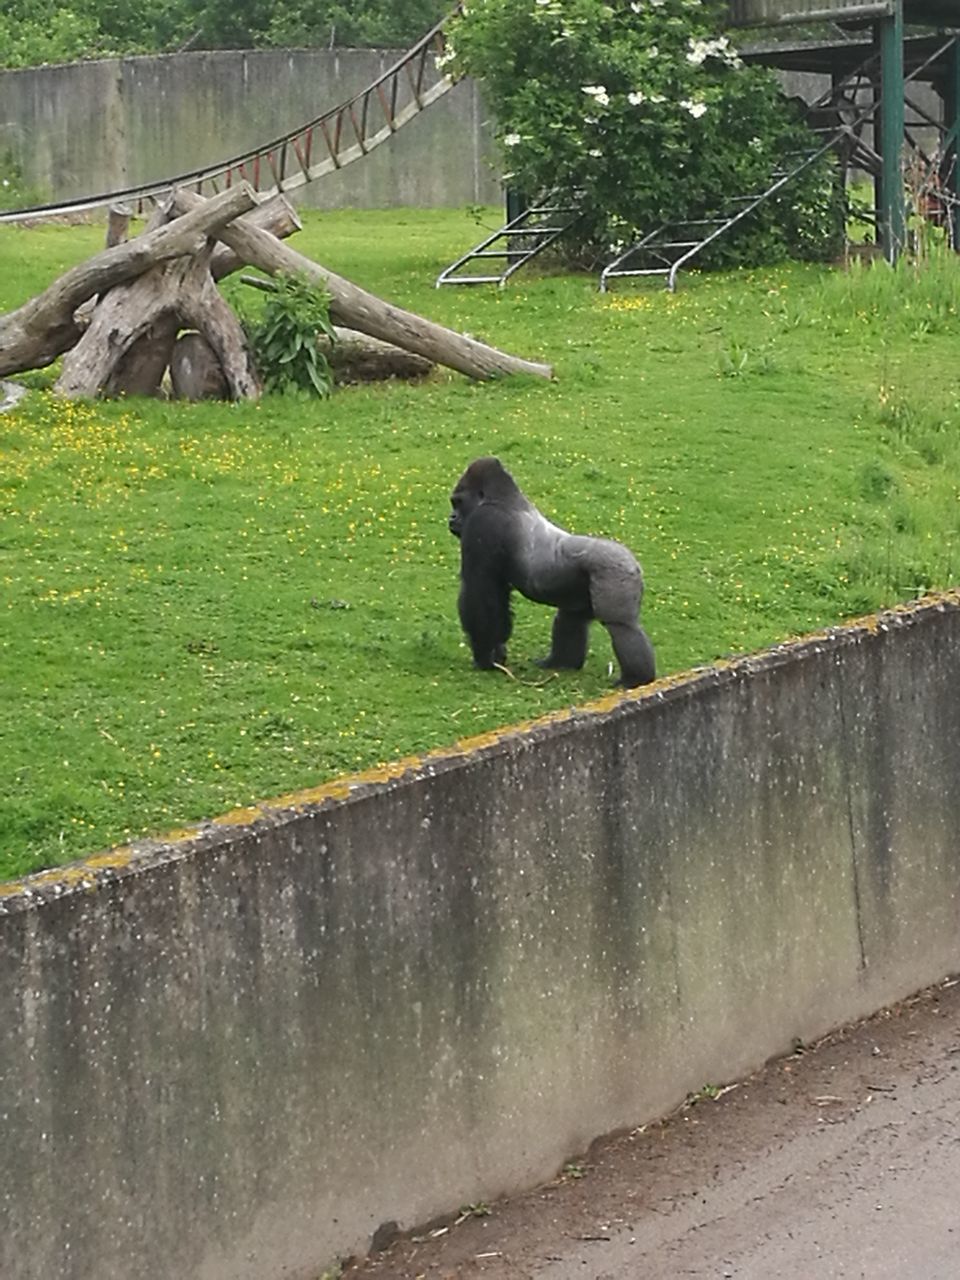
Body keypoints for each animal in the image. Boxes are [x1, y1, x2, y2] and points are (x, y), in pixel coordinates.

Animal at [450, 455, 660, 686]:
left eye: (458, 502)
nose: (452, 518)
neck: (502, 499)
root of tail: (634, 564)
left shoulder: (482, 523)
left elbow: (480, 593)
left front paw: (486, 656)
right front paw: (496, 652)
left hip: (614, 573)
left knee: (622, 627)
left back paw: (635, 679)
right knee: (570, 617)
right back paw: (561, 663)